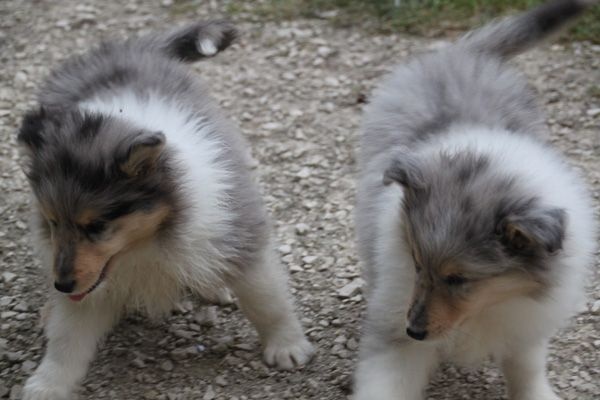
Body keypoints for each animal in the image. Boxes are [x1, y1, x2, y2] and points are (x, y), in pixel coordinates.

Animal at [18, 21, 314, 400]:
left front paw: (287, 347)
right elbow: (68, 337)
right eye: (53, 222)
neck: (149, 240)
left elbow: (266, 300)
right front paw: (47, 385)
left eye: (96, 225)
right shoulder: (89, 282)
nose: (63, 285)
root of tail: (126, 47)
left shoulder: (234, 232)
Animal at [356, 0, 596, 400]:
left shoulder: (523, 322)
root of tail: (462, 53)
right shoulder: (397, 328)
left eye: (458, 278)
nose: (414, 330)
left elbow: (526, 367)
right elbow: (388, 380)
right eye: (416, 263)